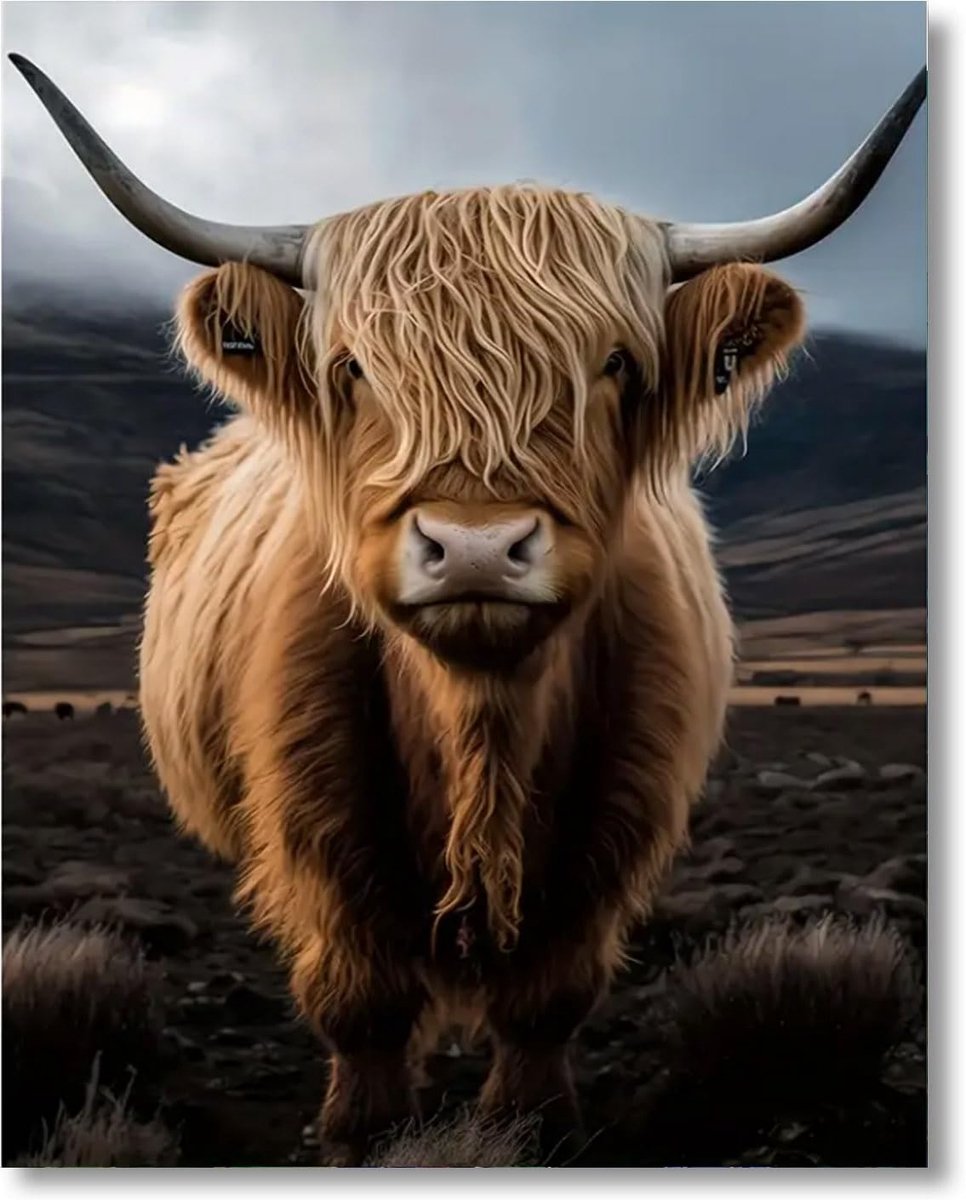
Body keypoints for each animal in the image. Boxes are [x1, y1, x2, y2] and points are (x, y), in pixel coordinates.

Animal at [13, 55, 925, 1164]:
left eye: (615, 363)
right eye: (354, 367)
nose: (477, 547)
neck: (478, 727)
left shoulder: (611, 835)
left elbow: (547, 1001)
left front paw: (531, 1122)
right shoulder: (315, 834)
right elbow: (359, 1005)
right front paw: (360, 1131)